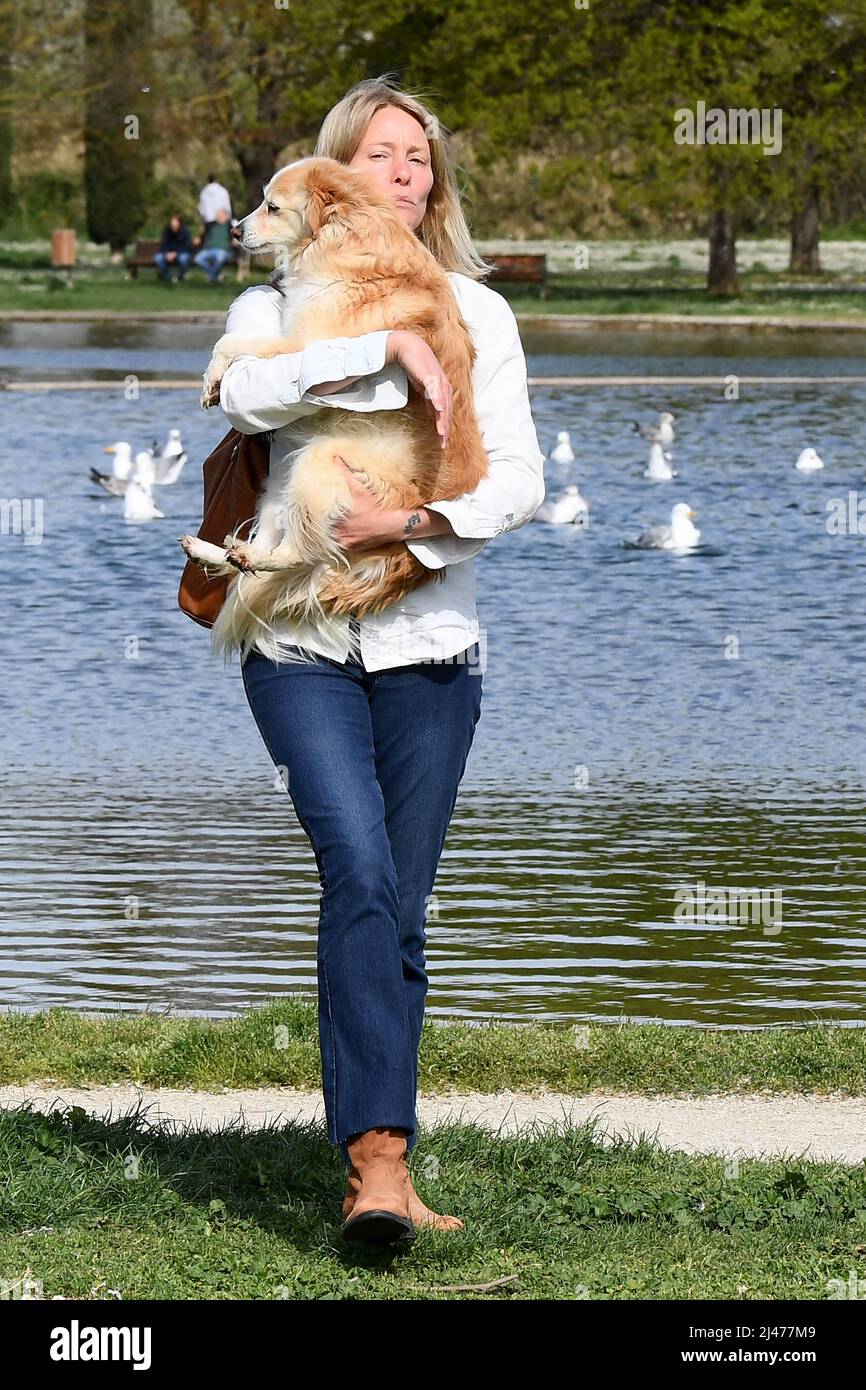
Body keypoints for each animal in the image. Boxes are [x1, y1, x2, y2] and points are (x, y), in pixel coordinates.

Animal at [177, 159, 489, 658]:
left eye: (272, 207)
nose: (235, 230)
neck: (343, 239)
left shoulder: (303, 341)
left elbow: (232, 342)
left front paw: (211, 378)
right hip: (284, 480)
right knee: (265, 551)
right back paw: (224, 551)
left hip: (319, 463)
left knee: (300, 553)